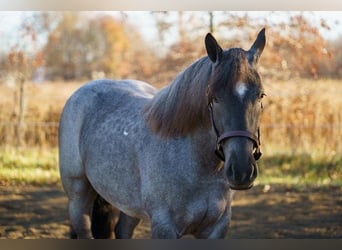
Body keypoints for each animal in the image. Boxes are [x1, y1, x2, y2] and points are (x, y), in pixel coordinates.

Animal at [59, 27, 268, 238]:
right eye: (214, 98)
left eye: (261, 95)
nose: (241, 170)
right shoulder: (165, 228)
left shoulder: (216, 229)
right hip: (78, 196)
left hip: (129, 204)